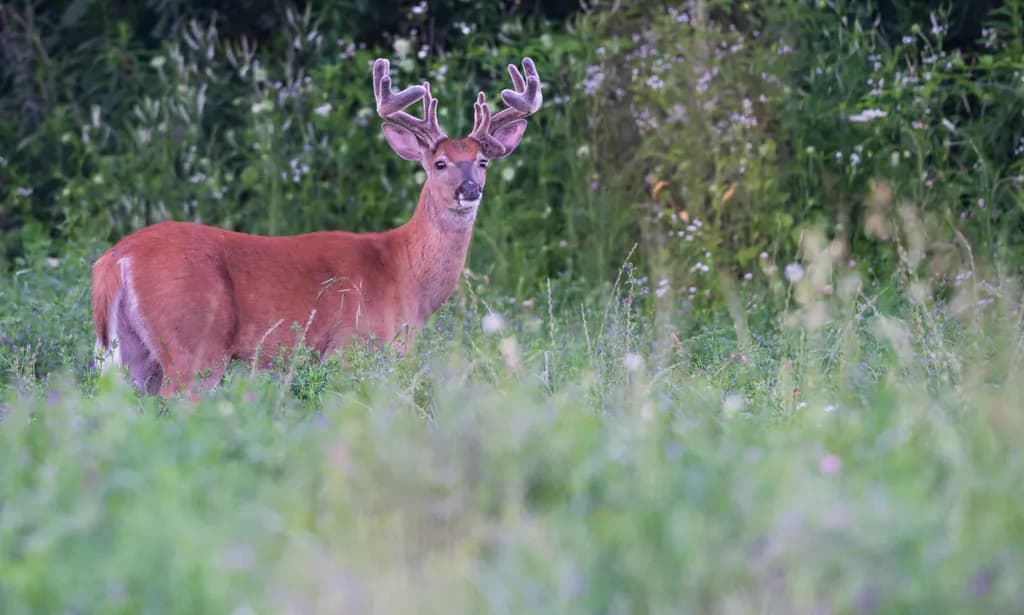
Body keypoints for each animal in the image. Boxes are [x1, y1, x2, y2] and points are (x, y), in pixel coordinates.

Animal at [91, 57, 542, 396]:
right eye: (440, 163)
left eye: (482, 162)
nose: (469, 189)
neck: (405, 274)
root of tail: (116, 259)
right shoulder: (350, 348)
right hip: (195, 345)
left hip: (133, 352)